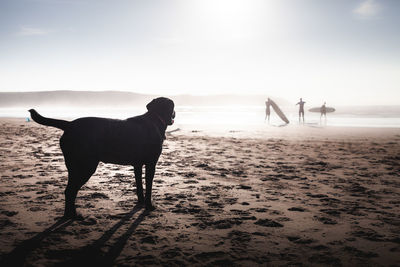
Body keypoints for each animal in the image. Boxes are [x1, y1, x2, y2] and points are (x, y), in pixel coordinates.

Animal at [28, 97, 176, 219]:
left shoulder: (137, 165)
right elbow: (149, 187)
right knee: (70, 191)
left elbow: (139, 185)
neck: (155, 118)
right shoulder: (151, 164)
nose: (175, 113)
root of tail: (70, 124)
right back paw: (73, 215)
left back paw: (69, 214)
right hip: (86, 166)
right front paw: (149, 206)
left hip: (74, 167)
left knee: (68, 190)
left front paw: (140, 202)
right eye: (172, 106)